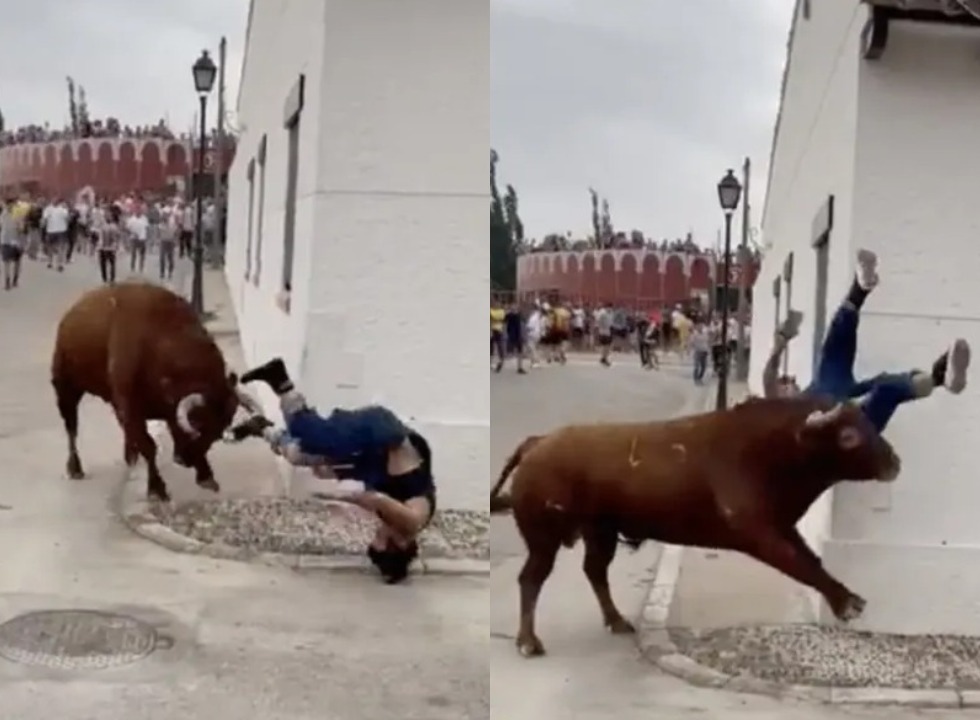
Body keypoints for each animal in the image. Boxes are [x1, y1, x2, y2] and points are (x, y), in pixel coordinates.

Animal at [52, 282, 253, 500]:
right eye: (198, 423)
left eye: (219, 429)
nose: (185, 460)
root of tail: (71, 315)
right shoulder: (131, 407)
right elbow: (149, 446)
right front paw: (157, 489)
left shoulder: (157, 410)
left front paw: (207, 477)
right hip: (65, 389)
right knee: (71, 428)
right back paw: (75, 468)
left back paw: (129, 455)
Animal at [490, 400, 904, 660]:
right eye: (849, 436)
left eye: (869, 424)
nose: (894, 462)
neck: (775, 447)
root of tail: (538, 442)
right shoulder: (760, 533)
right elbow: (801, 564)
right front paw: (848, 603)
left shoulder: (782, 527)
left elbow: (810, 559)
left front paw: (847, 597)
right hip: (543, 539)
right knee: (532, 578)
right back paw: (528, 642)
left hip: (600, 533)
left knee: (594, 570)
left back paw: (617, 621)